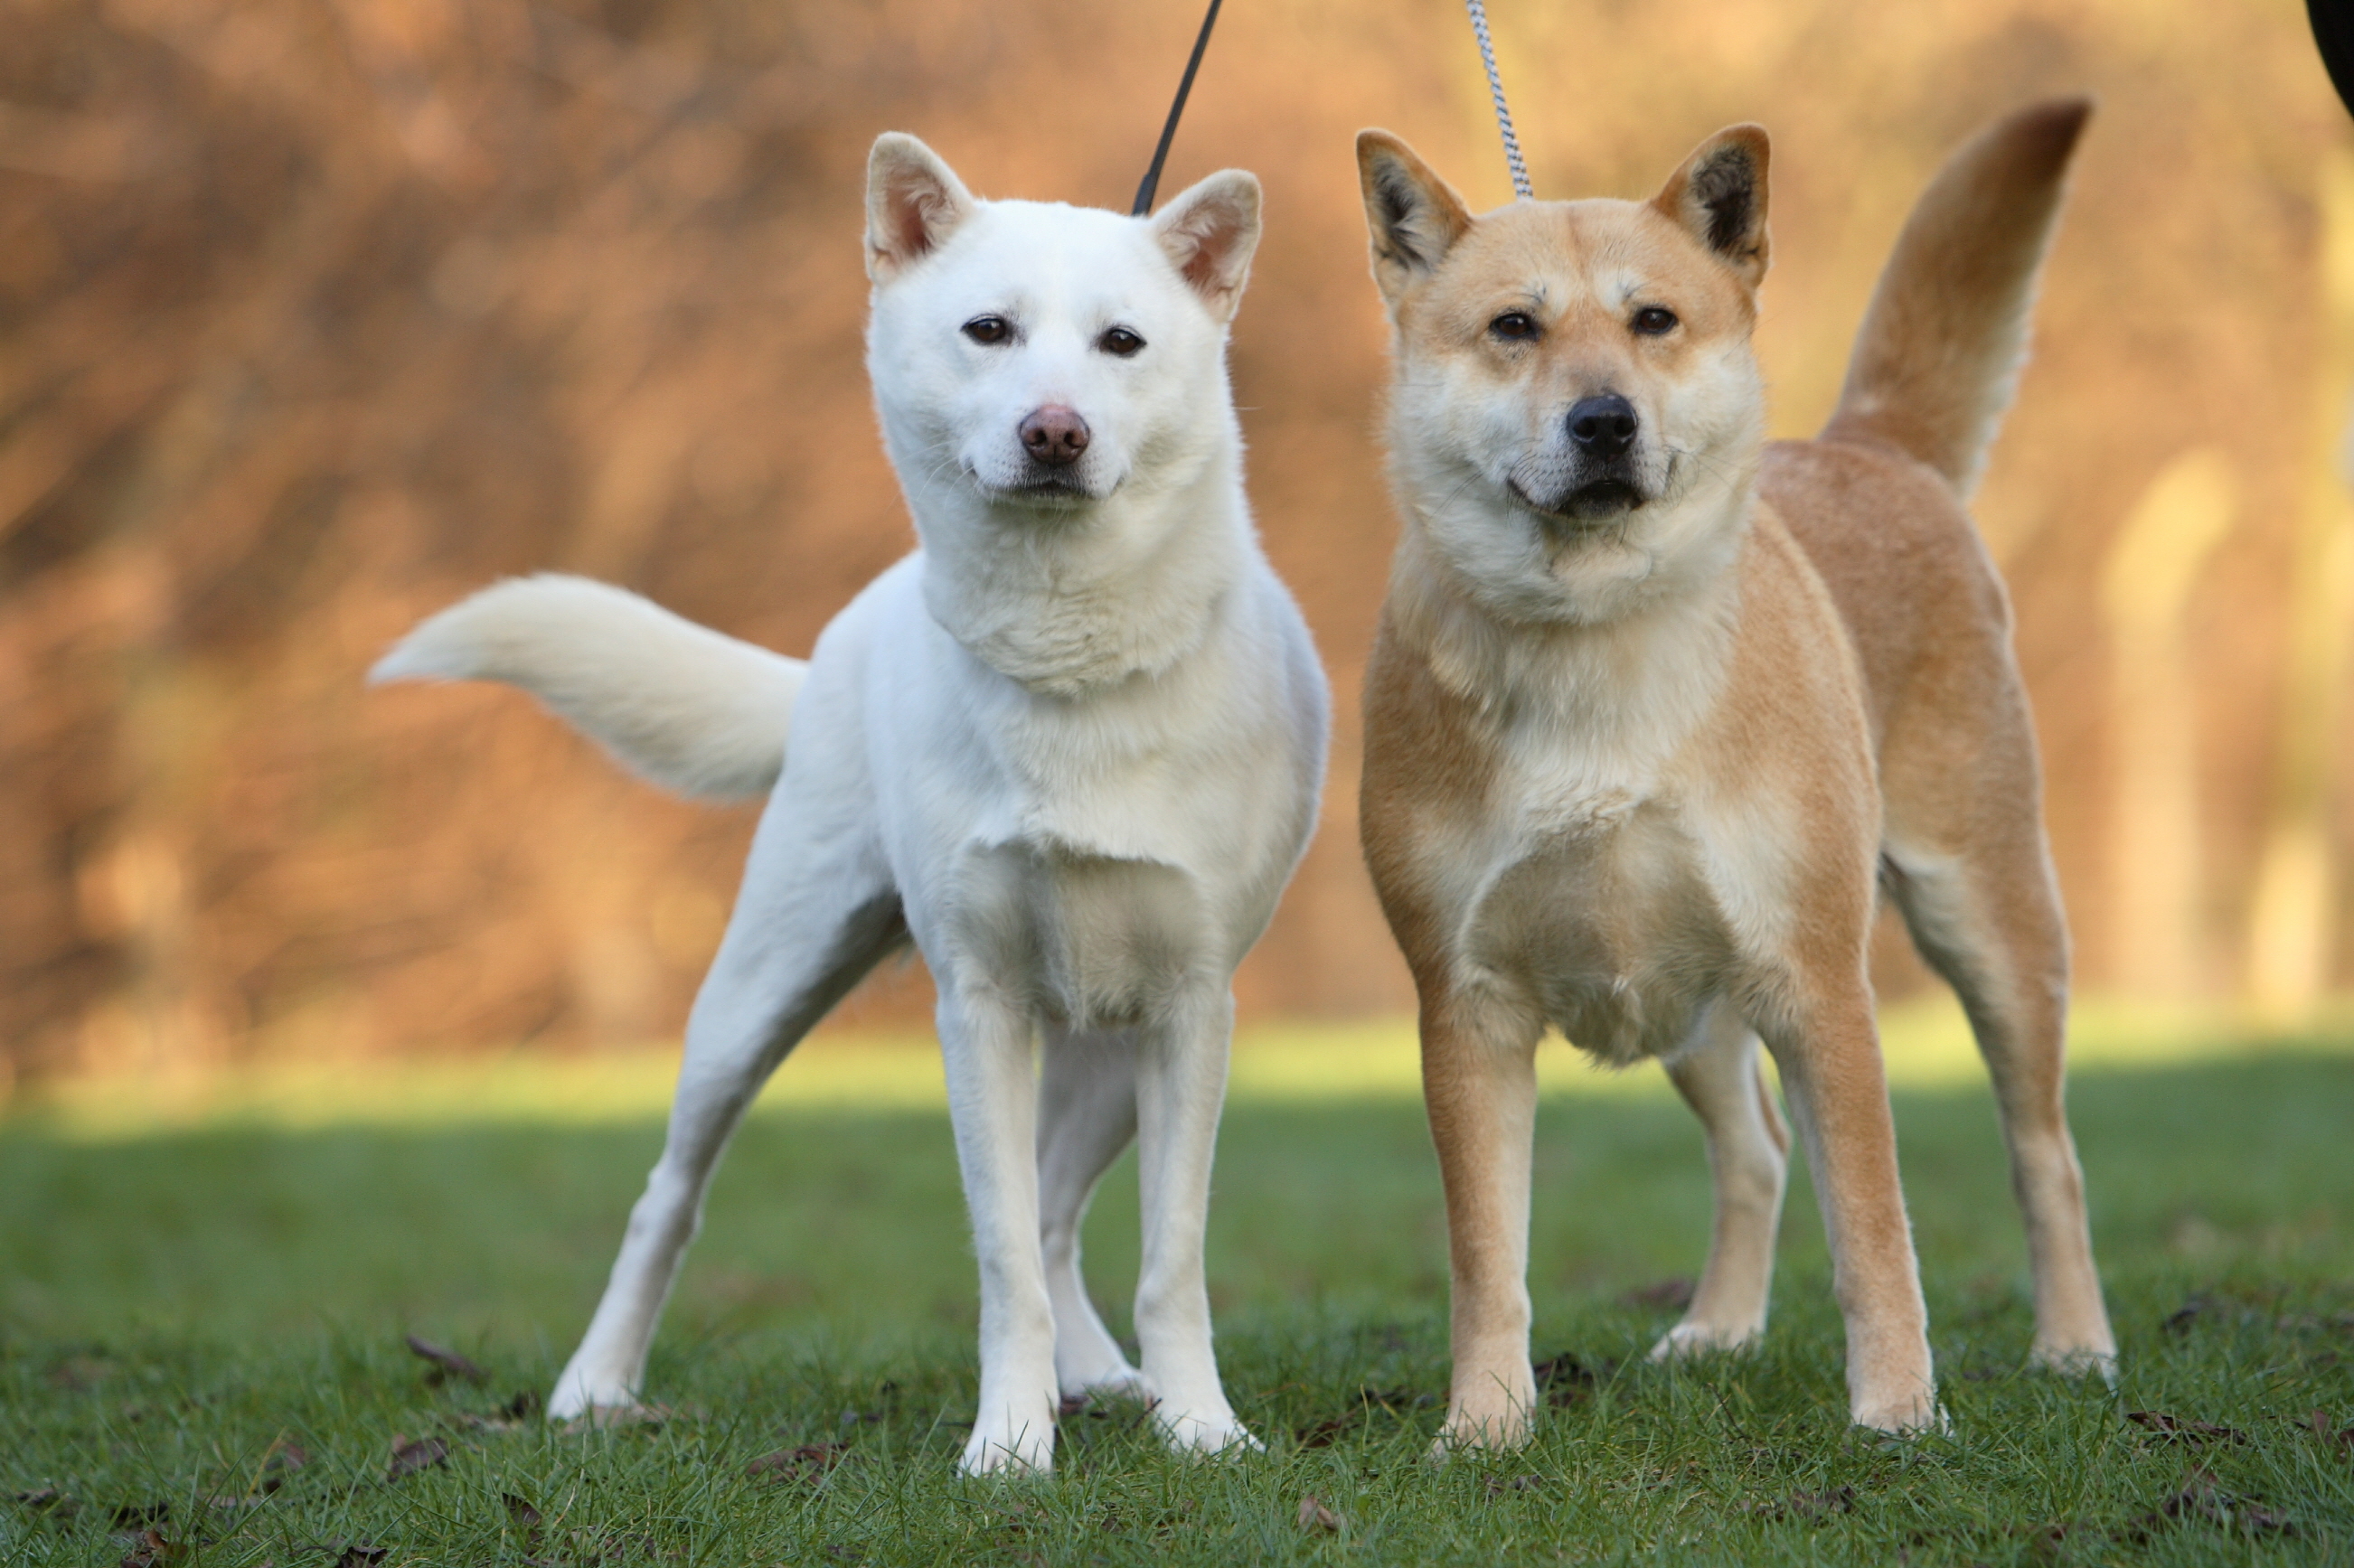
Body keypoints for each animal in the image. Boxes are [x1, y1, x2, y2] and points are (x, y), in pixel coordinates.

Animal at [367, 134, 1327, 1469]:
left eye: (1122, 343)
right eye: (989, 330)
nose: (1055, 430)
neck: (1066, 654)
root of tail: (847, 624)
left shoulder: (1192, 1011)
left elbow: (1168, 1255)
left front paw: (1199, 1429)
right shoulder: (977, 1008)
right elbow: (996, 1252)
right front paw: (1008, 1447)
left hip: (1102, 1054)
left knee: (1059, 1211)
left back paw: (1098, 1376)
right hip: (760, 990)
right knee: (671, 1196)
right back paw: (595, 1386)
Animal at [1365, 100, 2118, 1441]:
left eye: (1655, 320)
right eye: (1514, 327)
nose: (1604, 420)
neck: (1596, 647)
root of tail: (1872, 449)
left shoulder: (1816, 978)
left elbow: (1873, 1227)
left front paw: (1898, 1415)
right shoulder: (1464, 1002)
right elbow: (1486, 1251)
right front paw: (1485, 1424)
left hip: (1986, 915)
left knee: (2045, 1151)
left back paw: (2074, 1344)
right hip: (1690, 1003)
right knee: (1755, 1152)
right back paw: (1716, 1332)